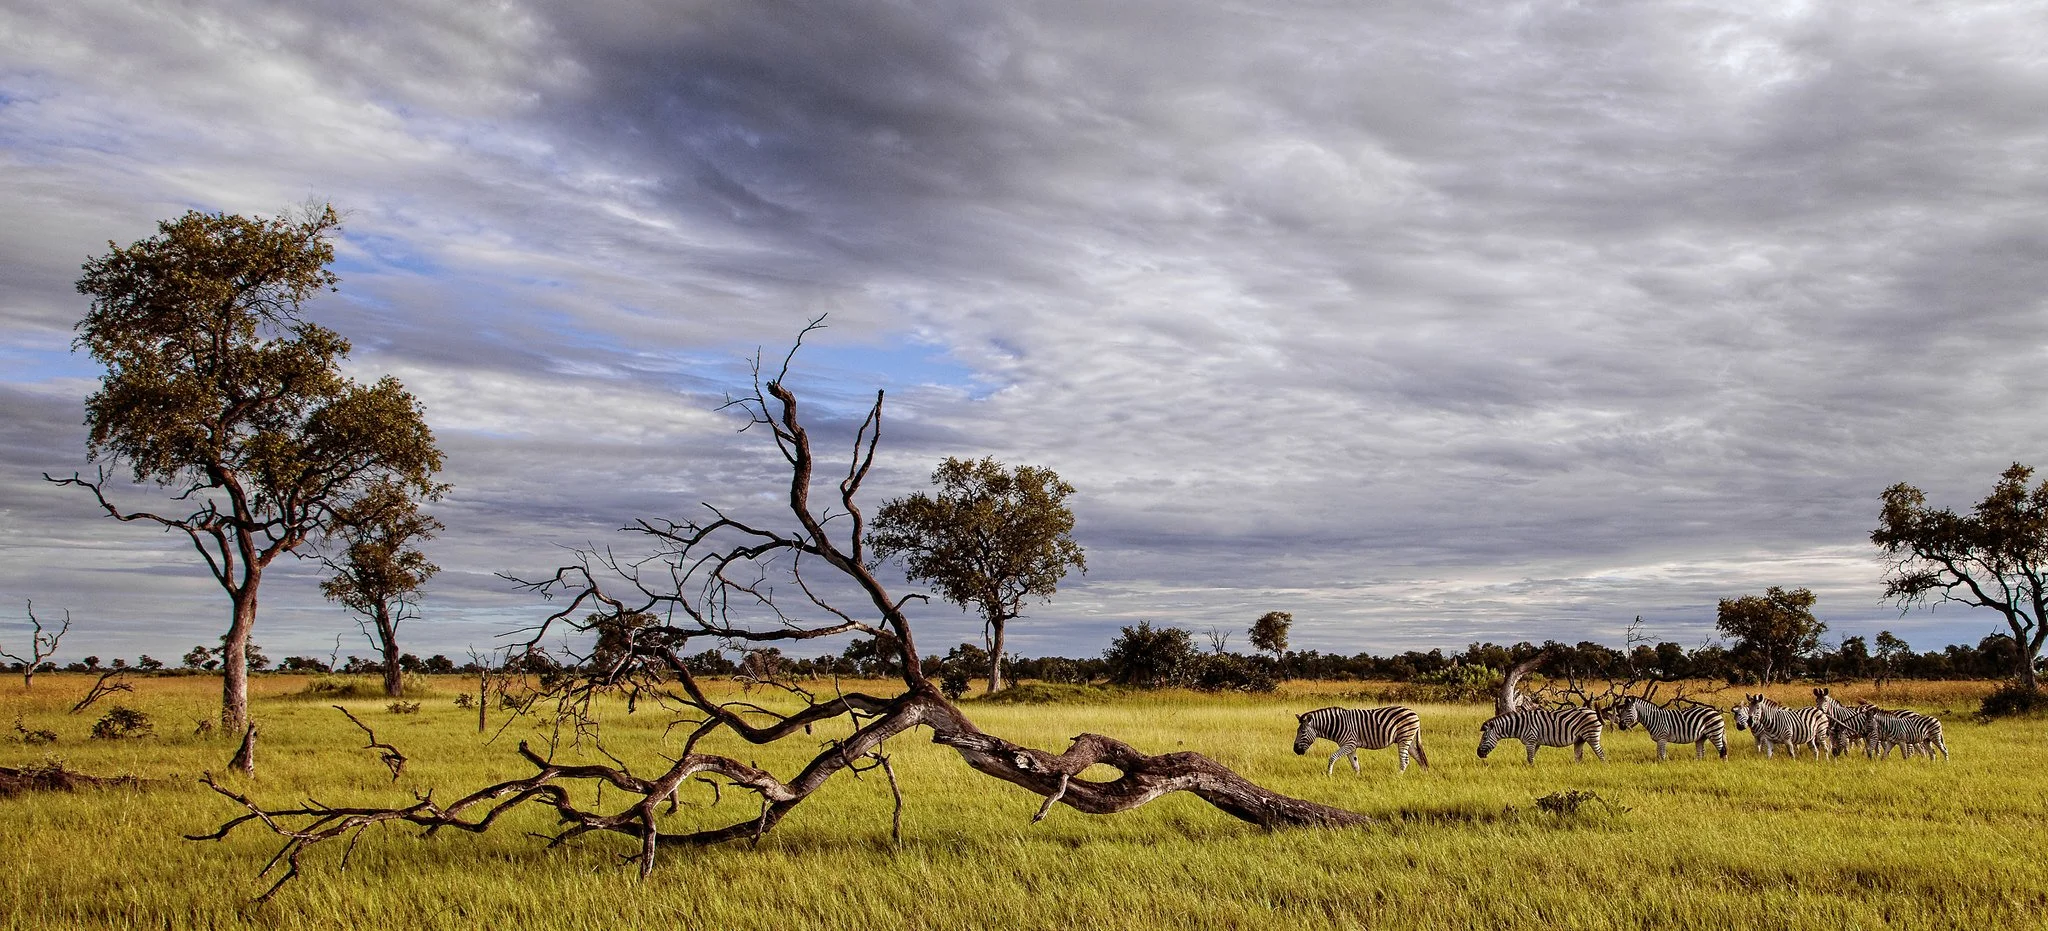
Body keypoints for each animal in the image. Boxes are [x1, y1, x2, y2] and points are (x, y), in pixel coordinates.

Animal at [1293, 706, 1429, 774]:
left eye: (1302, 732)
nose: (1295, 750)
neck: (1337, 724)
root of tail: (1413, 712)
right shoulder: (1350, 746)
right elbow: (1355, 764)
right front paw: (1357, 779)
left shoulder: (1349, 743)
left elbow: (1332, 757)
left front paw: (1329, 775)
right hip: (1409, 740)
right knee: (1418, 757)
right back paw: (1424, 776)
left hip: (1404, 738)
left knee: (1405, 761)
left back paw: (1397, 777)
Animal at [1476, 706, 1605, 764]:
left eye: (1484, 738)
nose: (1478, 753)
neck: (1520, 725)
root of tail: (1593, 711)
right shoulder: (1535, 742)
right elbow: (1531, 757)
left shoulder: (1530, 740)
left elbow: (1530, 758)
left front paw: (1530, 770)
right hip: (1580, 739)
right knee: (1578, 757)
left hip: (1591, 735)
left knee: (1601, 753)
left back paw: (1603, 767)